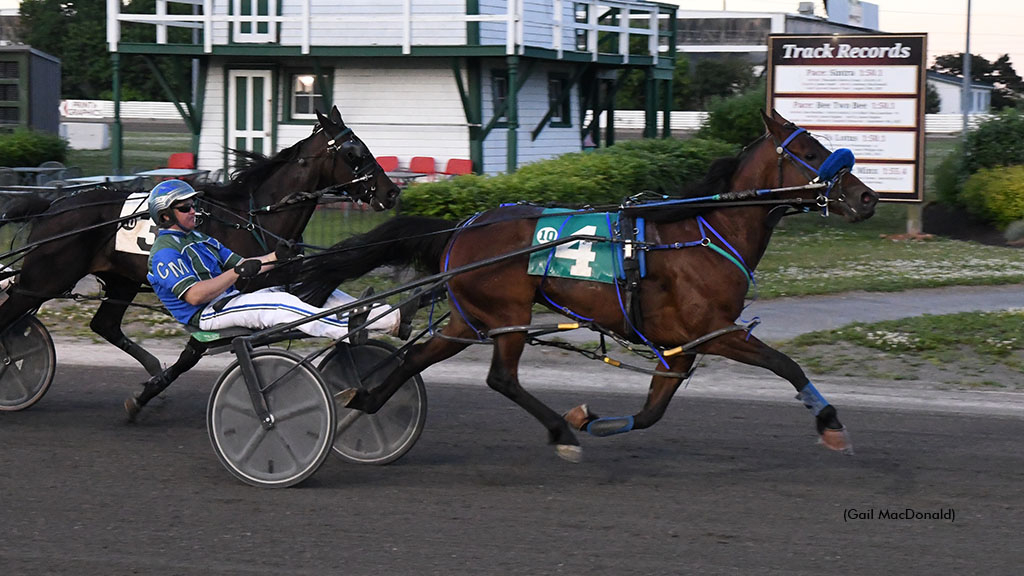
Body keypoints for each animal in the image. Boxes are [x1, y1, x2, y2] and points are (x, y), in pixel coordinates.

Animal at [0, 104, 399, 407]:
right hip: (43, 279)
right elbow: (197, 349)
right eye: (354, 153)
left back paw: (151, 366)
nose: (391, 192)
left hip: (120, 279)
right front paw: (146, 395)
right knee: (11, 313)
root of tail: (53, 206)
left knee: (105, 324)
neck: (252, 217)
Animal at [292, 109, 876, 459]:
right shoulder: (716, 330)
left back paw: (365, 400)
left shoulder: (682, 346)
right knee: (500, 378)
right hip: (509, 315)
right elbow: (786, 364)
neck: (705, 231)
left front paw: (591, 417)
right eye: (813, 151)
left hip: (470, 318)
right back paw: (558, 432)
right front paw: (830, 423)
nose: (867, 198)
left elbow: (652, 412)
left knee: (417, 357)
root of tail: (463, 226)